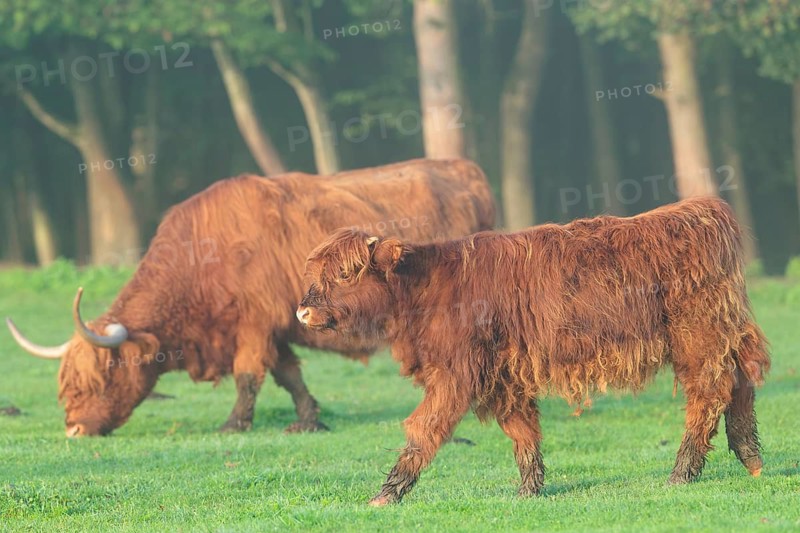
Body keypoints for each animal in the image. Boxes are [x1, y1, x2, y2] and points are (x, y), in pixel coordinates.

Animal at [6, 158, 495, 437]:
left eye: (101, 378)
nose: (74, 429)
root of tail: (466, 169)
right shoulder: (274, 326)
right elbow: (288, 374)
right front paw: (308, 419)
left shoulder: (254, 324)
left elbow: (248, 375)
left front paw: (233, 424)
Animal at [296, 197, 770, 505]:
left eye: (346, 274)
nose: (302, 310)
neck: (426, 289)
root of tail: (700, 209)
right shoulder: (504, 375)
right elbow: (522, 429)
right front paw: (529, 489)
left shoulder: (456, 373)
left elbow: (424, 429)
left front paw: (386, 493)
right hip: (721, 334)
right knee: (741, 382)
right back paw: (751, 458)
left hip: (698, 338)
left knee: (709, 394)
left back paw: (681, 473)